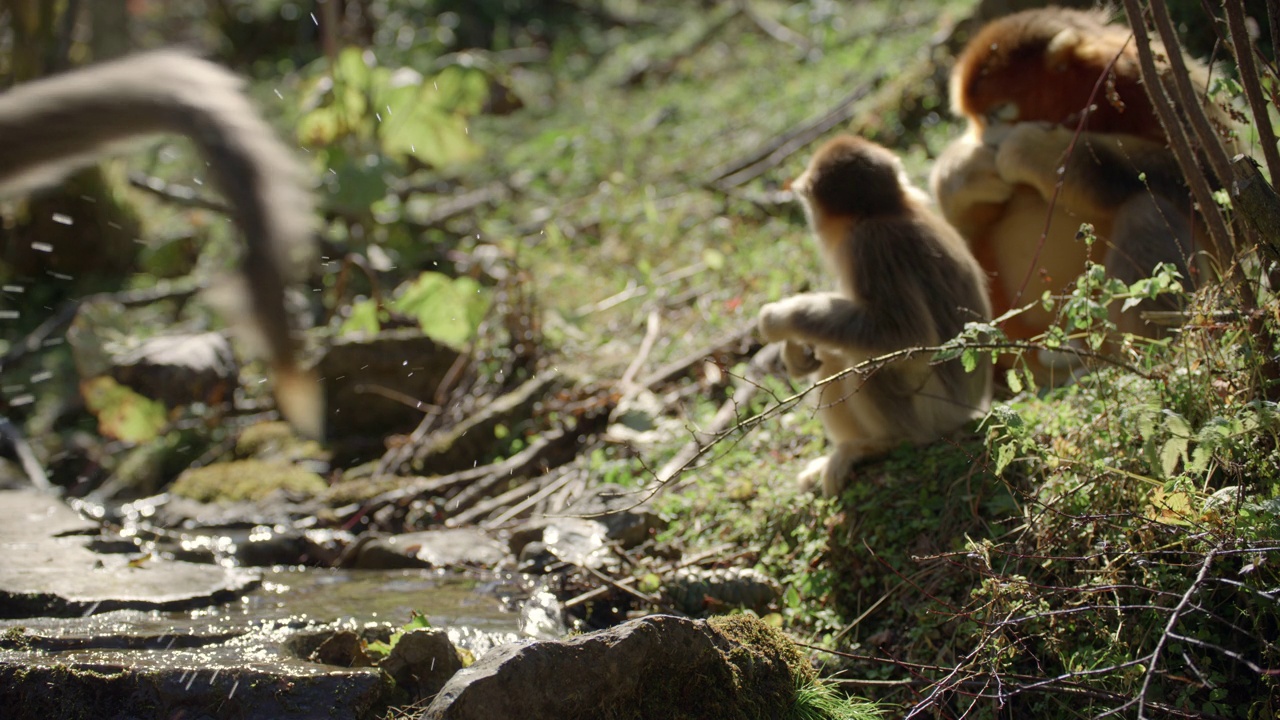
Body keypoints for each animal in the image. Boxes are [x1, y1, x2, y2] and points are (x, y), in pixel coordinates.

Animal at [752, 133, 993, 491]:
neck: (889, 211)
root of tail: (970, 410)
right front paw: (794, 349)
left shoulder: (869, 244)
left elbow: (904, 336)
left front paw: (780, 319)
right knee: (836, 353)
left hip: (931, 414)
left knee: (867, 361)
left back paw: (882, 443)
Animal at [931, 5, 1228, 381]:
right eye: (977, 120)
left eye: (997, 113)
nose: (985, 138)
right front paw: (965, 170)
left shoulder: (1153, 80)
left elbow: (1210, 187)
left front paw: (1040, 152)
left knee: (1144, 211)